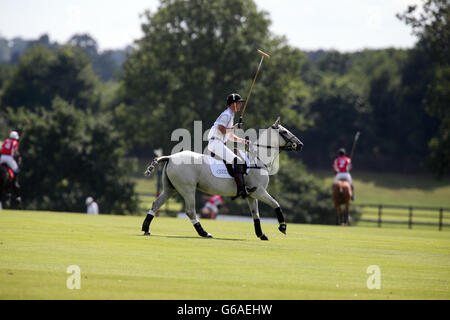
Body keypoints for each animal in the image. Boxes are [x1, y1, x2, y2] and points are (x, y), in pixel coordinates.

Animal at [142, 117, 304, 240]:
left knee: (156, 204)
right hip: (187, 189)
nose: (300, 145)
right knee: (190, 211)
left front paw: (261, 234)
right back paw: (204, 233)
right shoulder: (259, 191)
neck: (258, 160)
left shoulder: (251, 195)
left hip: (170, 188)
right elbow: (276, 204)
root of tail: (170, 157)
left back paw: (146, 229)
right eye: (284, 131)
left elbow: (255, 215)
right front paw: (283, 227)